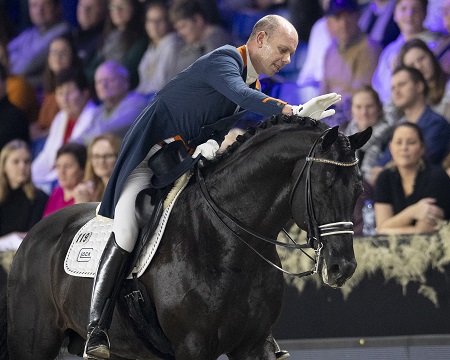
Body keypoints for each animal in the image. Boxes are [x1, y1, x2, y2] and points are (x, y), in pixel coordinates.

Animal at [1, 114, 370, 358]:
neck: (231, 245)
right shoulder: (193, 346)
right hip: (33, 343)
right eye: (323, 186)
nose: (343, 268)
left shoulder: (254, 344)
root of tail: (33, 236)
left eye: (358, 189)